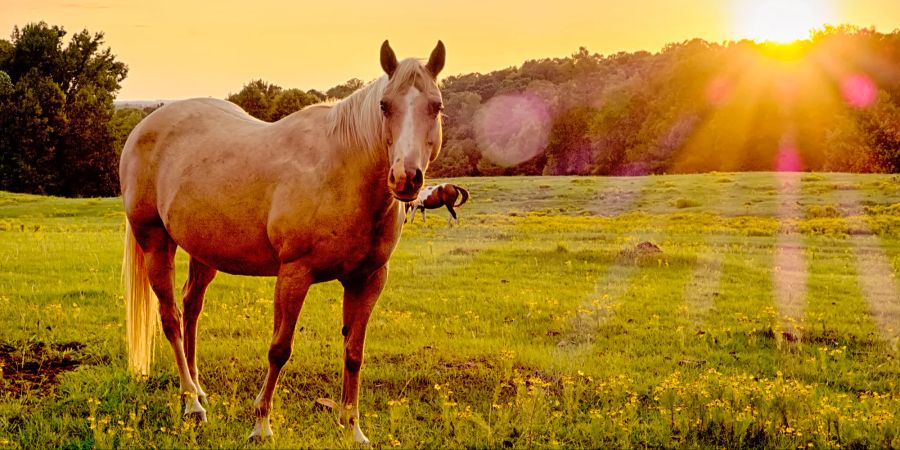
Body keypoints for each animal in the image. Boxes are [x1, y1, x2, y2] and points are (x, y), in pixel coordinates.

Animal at [118, 39, 448, 442]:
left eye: (436, 106)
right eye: (385, 105)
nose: (405, 178)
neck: (342, 170)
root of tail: (143, 128)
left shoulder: (368, 279)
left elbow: (354, 351)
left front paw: (352, 429)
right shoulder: (294, 274)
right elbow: (279, 348)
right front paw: (261, 425)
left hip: (203, 252)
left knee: (191, 307)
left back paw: (198, 388)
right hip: (154, 241)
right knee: (171, 319)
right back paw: (192, 404)